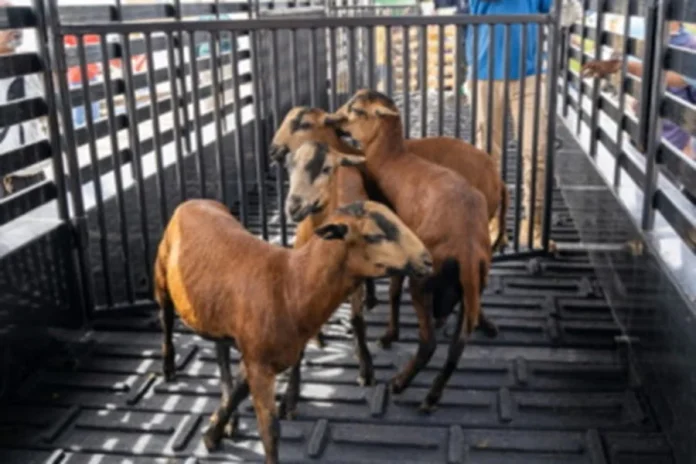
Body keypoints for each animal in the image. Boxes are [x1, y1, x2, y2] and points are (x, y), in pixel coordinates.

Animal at [154, 198, 432, 462]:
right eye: (374, 236)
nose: (428, 261)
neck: (291, 283)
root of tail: (192, 202)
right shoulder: (259, 364)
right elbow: (269, 432)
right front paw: (216, 433)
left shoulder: (256, 356)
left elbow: (238, 391)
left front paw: (212, 434)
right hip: (161, 274)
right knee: (165, 319)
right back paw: (168, 368)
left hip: (213, 309)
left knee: (220, 352)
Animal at [318, 89, 494, 410]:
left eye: (357, 110)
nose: (330, 119)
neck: (392, 159)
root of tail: (468, 247)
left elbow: (393, 291)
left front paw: (389, 335)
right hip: (473, 285)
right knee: (456, 349)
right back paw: (432, 396)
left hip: (424, 279)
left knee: (429, 343)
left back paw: (400, 383)